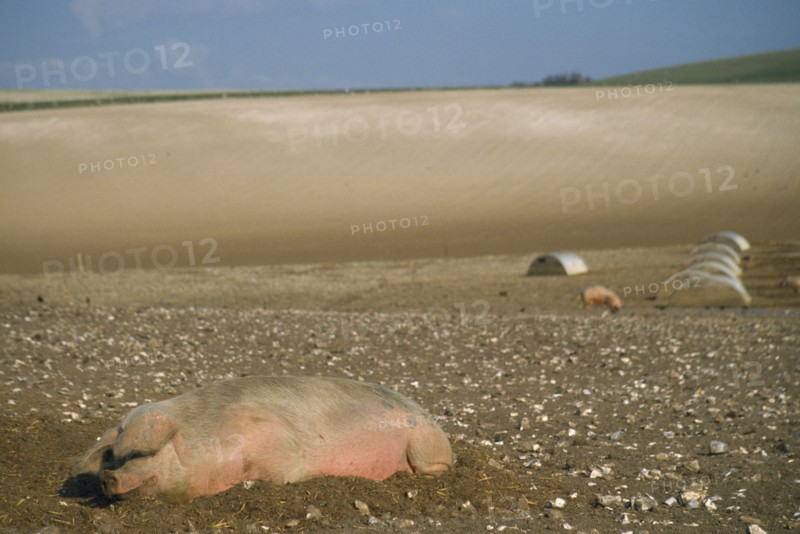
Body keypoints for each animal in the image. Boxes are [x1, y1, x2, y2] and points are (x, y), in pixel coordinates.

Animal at [72, 376, 453, 502]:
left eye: (142, 453)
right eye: (113, 456)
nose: (108, 477)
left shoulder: (284, 448)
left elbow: (285, 470)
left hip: (423, 447)